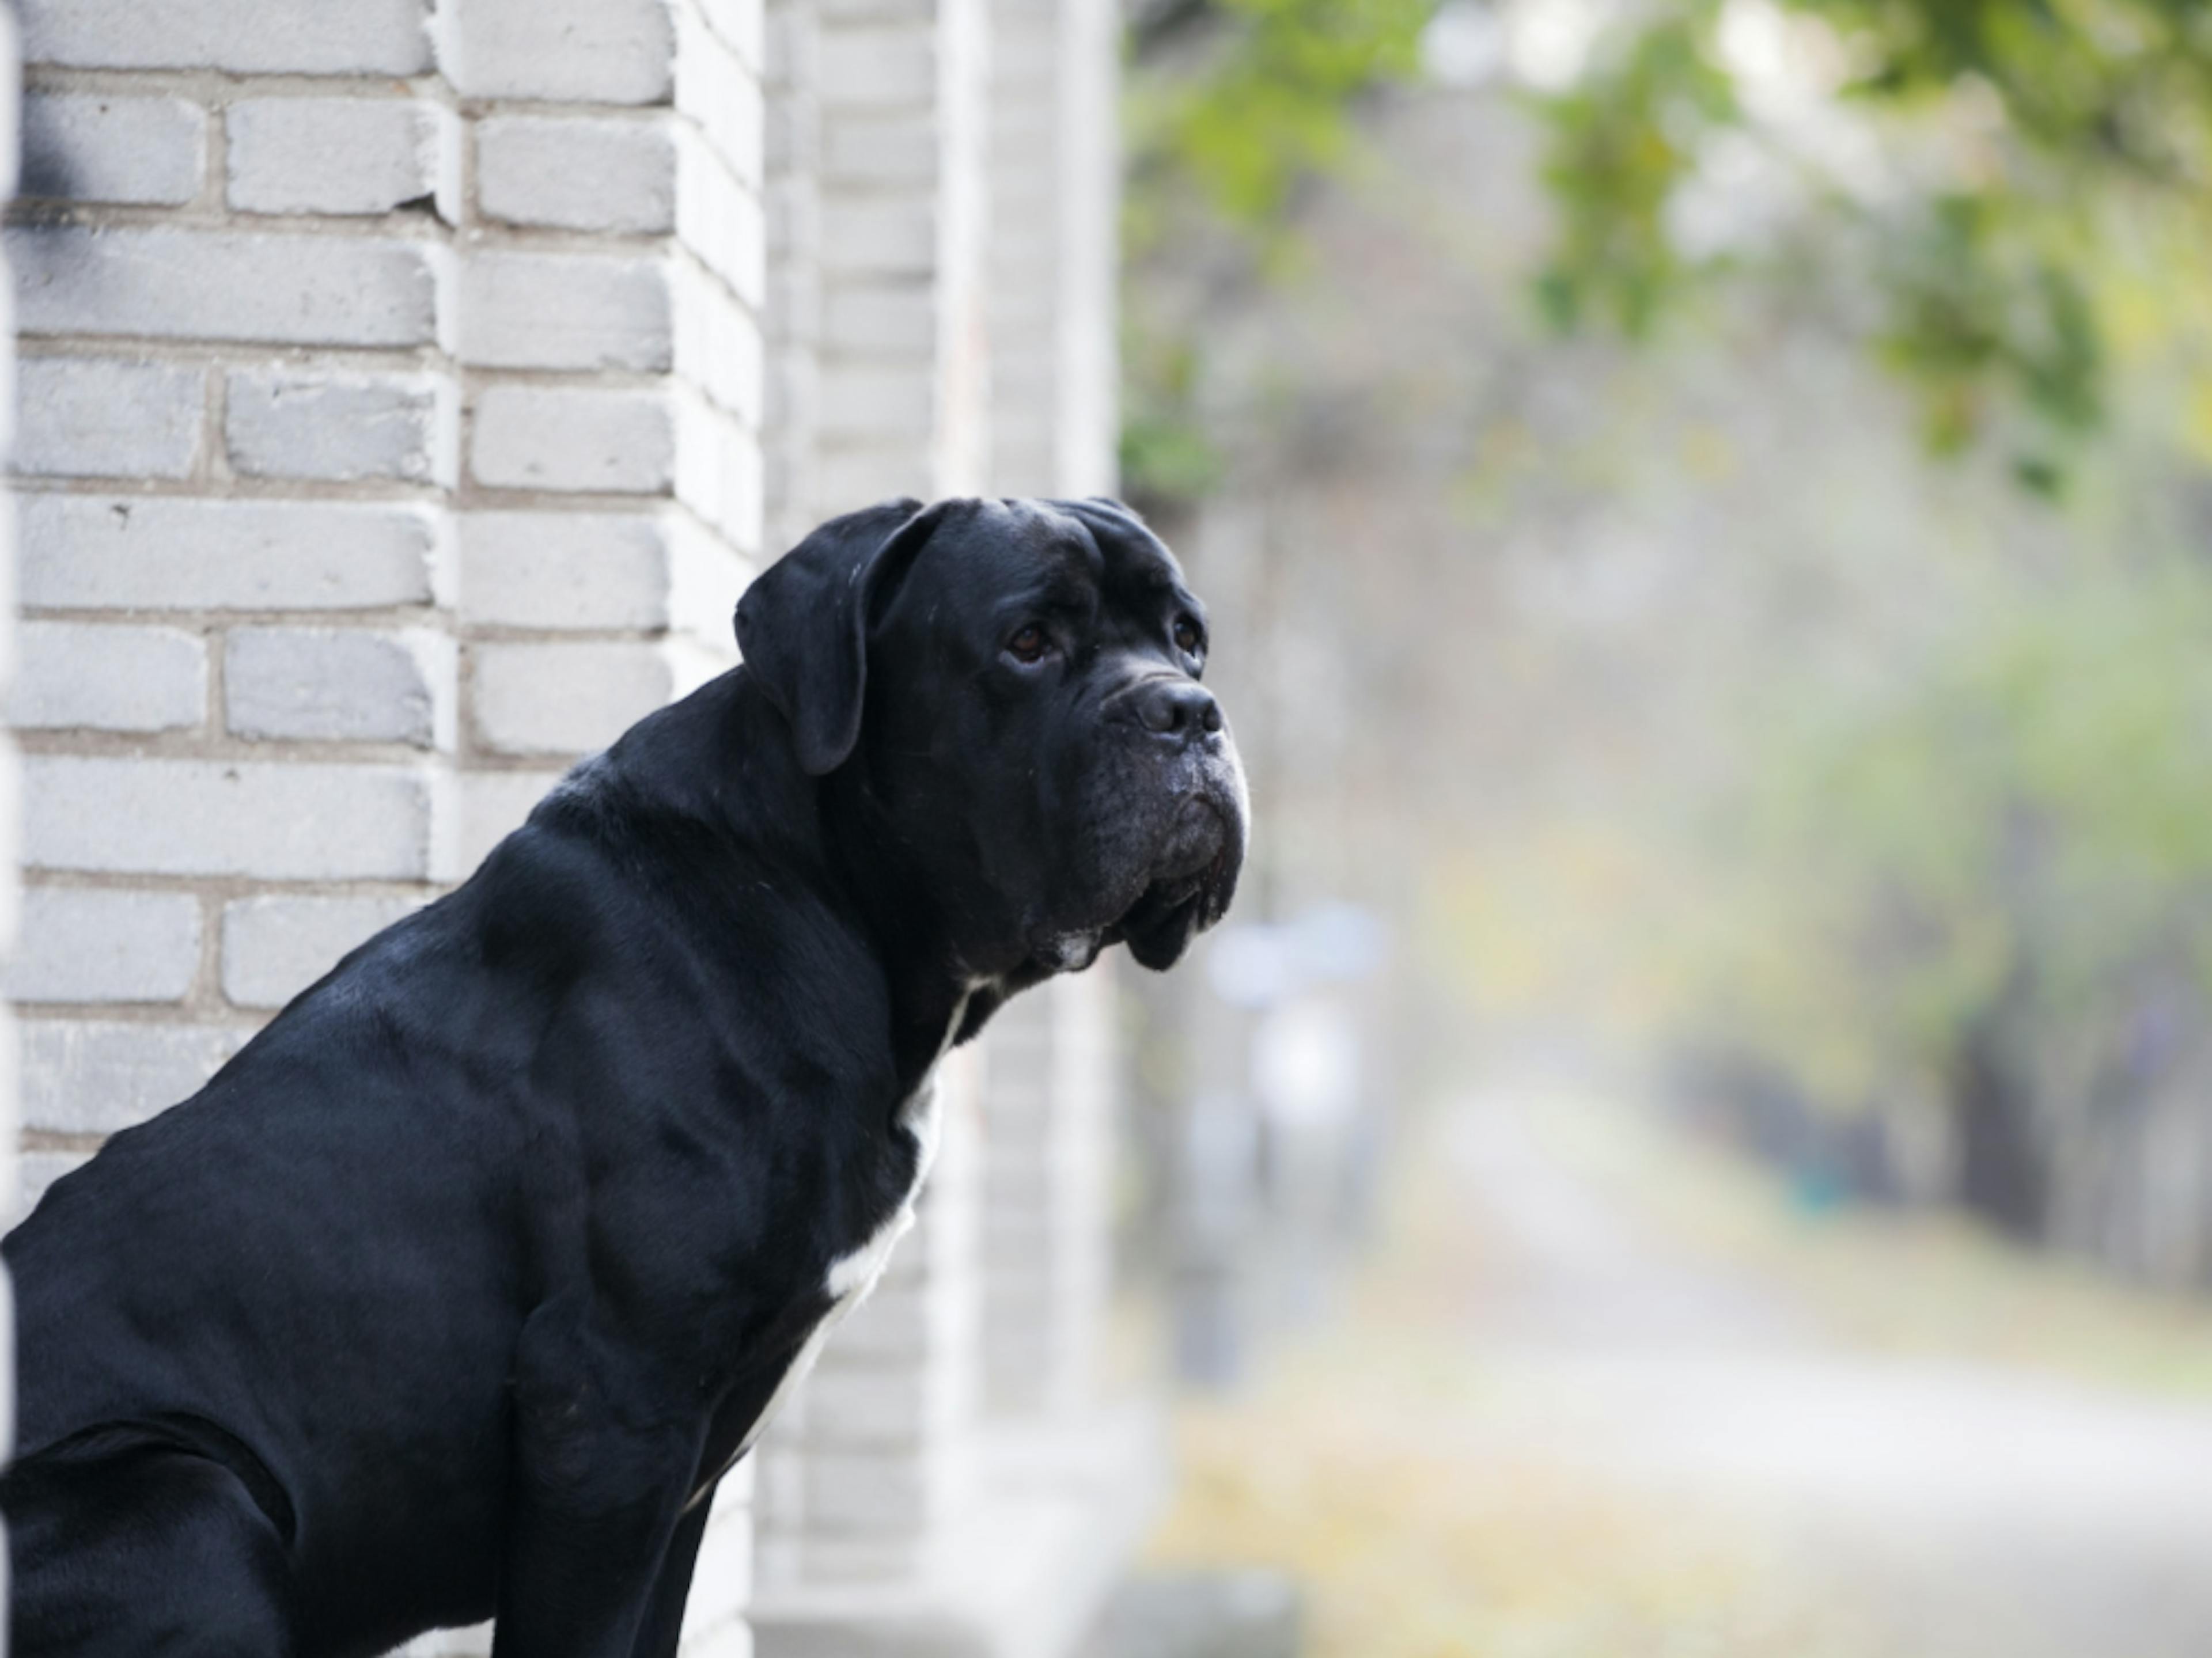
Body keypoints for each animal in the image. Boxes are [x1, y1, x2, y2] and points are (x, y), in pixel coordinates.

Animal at [4, 499, 1247, 1658]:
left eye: (1188, 638)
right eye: (1028, 641)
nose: (1189, 712)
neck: (825, 888)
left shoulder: (680, 1469)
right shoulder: (607, 1408)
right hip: (185, 1490)